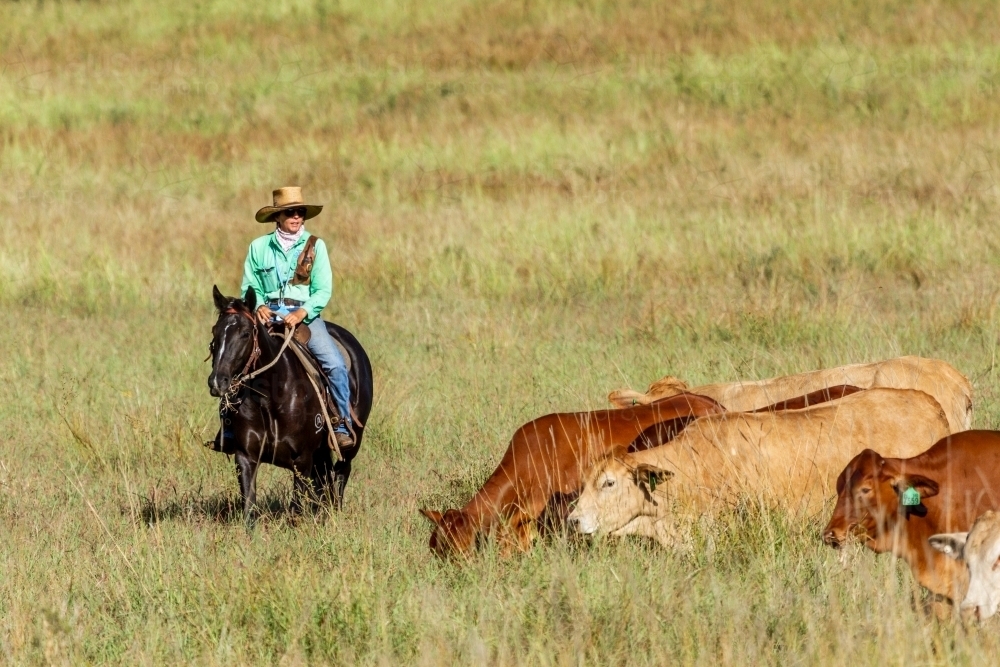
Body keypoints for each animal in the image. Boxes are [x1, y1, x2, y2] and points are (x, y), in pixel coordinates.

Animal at [205, 284, 374, 524]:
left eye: (245, 334)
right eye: (215, 332)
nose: (217, 382)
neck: (271, 399)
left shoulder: (301, 459)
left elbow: (295, 508)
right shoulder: (245, 457)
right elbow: (248, 507)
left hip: (351, 442)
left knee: (341, 473)